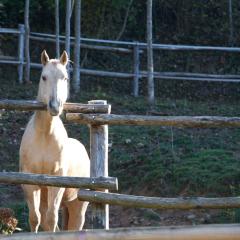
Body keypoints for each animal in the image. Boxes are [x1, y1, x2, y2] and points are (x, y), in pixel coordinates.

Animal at [19, 50, 90, 232]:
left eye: (65, 77)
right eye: (43, 77)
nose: (54, 106)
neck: (44, 135)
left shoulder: (56, 182)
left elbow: (51, 219)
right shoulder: (30, 182)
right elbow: (34, 219)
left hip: (77, 206)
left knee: (74, 227)